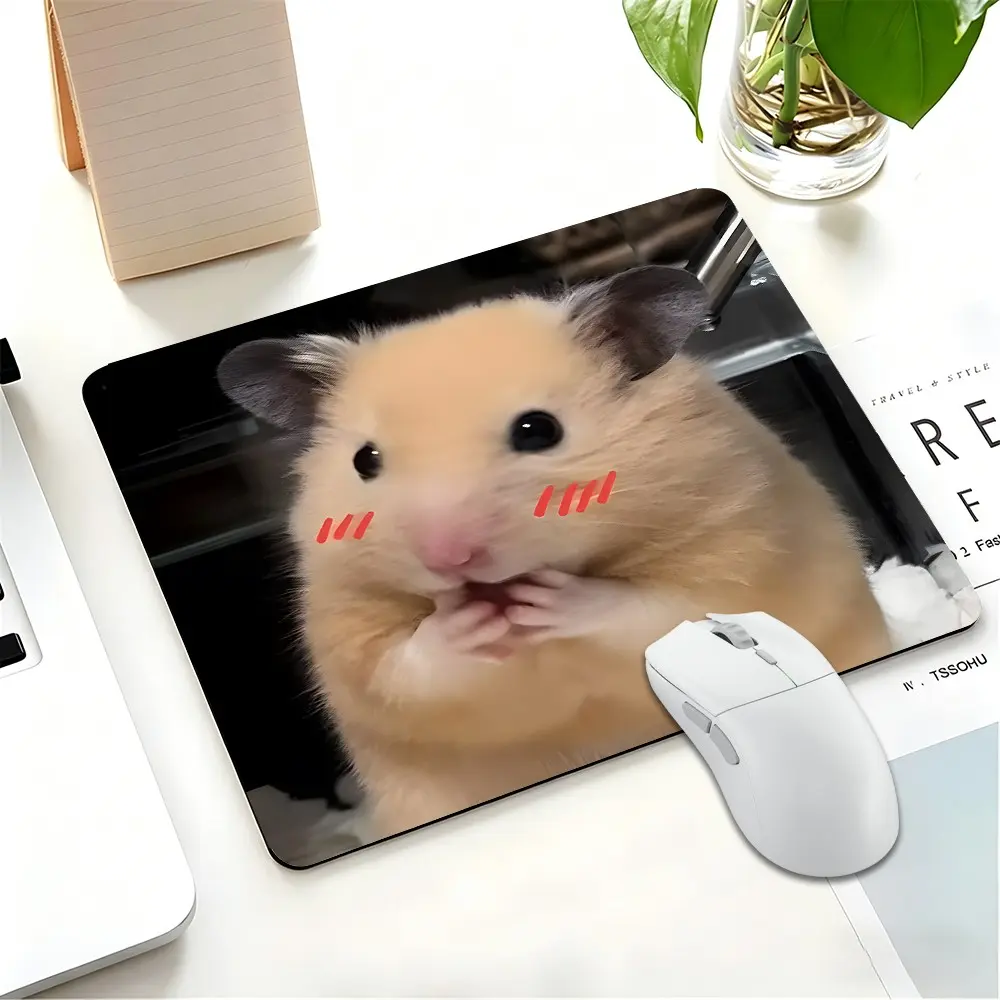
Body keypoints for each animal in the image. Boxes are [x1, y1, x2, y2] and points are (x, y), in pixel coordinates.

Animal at [218, 265, 892, 839]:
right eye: (365, 460)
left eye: (538, 430)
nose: (448, 558)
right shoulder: (347, 633)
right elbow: (405, 669)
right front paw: (467, 620)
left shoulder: (736, 544)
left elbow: (652, 610)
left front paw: (547, 600)